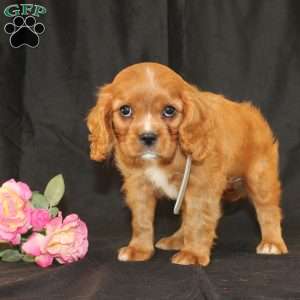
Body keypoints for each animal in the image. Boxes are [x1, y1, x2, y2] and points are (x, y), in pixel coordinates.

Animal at [86, 62, 286, 266]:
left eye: (169, 110)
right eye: (125, 110)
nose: (148, 136)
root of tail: (251, 112)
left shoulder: (201, 186)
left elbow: (197, 221)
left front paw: (193, 254)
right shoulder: (139, 186)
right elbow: (142, 220)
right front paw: (139, 249)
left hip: (260, 177)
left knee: (268, 210)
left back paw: (272, 243)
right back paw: (177, 240)